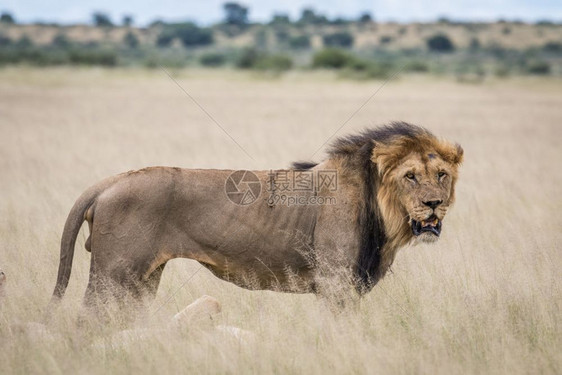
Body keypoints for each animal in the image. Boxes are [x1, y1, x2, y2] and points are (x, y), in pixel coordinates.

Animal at [49, 122, 460, 310]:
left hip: (141, 280)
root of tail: (109, 182)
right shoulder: (336, 284)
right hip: (113, 276)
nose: (434, 204)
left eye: (441, 175)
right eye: (410, 176)